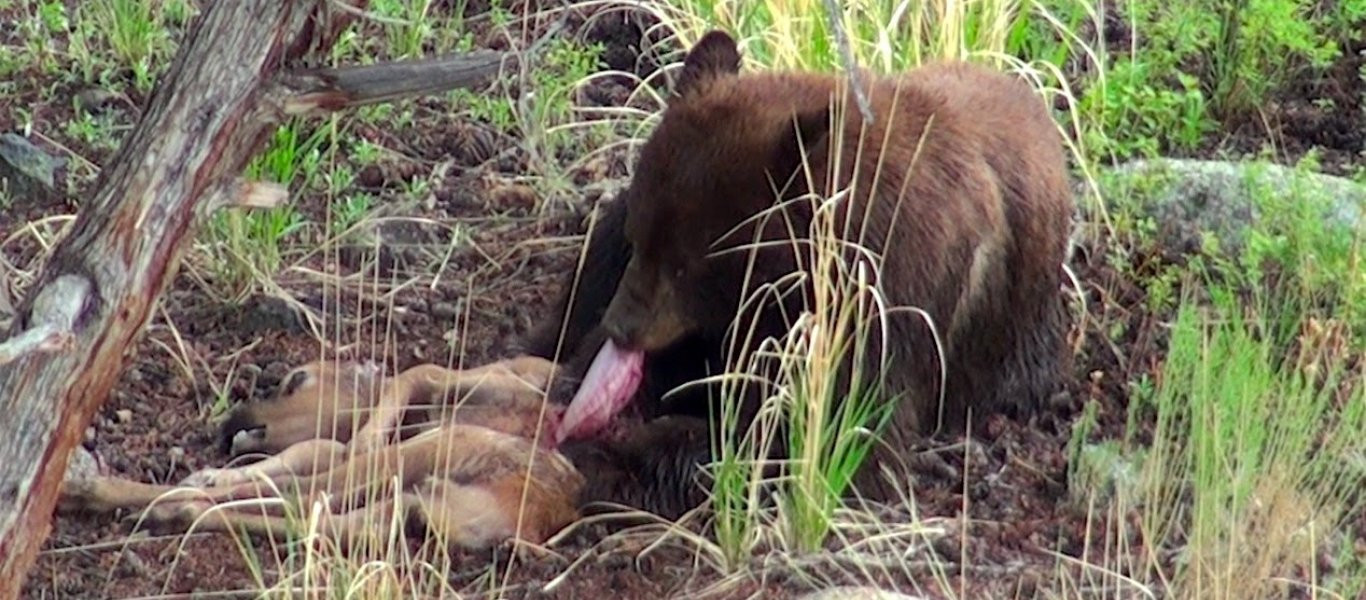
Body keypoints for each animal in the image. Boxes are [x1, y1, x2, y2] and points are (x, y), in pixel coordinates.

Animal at [524, 29, 1076, 516]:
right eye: (641, 240)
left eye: (686, 264)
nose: (621, 327)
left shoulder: (887, 304)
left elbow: (829, 433)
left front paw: (631, 455)